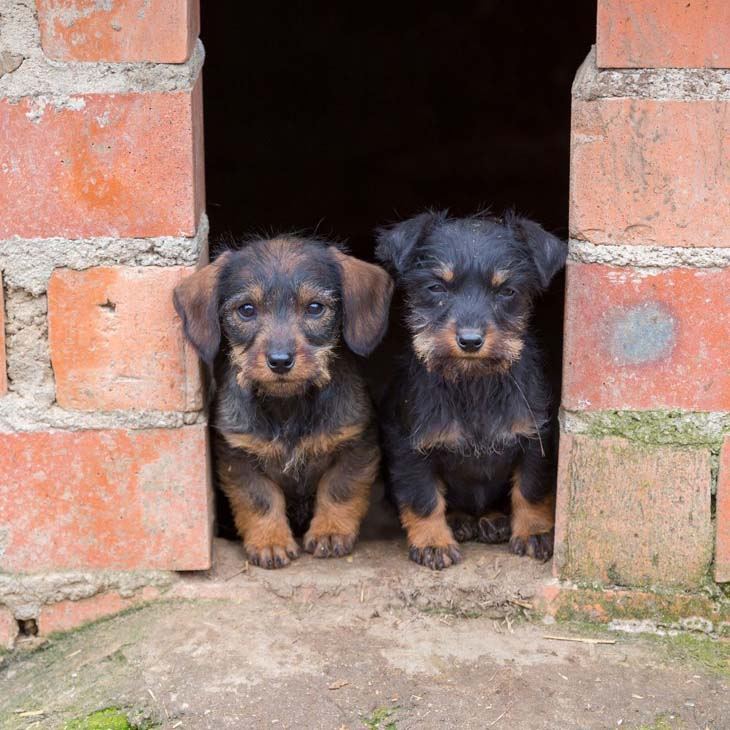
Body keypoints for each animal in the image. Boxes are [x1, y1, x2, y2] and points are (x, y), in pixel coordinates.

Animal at [173, 236, 392, 564]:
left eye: (315, 307)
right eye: (246, 309)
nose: (279, 361)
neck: (288, 407)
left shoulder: (356, 444)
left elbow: (338, 488)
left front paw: (330, 532)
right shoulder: (238, 456)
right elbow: (260, 499)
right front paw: (270, 542)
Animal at [372, 210, 564, 568]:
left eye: (506, 291)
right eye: (436, 287)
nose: (471, 341)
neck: (473, 381)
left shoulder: (536, 439)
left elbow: (531, 490)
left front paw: (534, 532)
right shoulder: (409, 446)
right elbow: (422, 497)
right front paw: (433, 542)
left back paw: (493, 520)